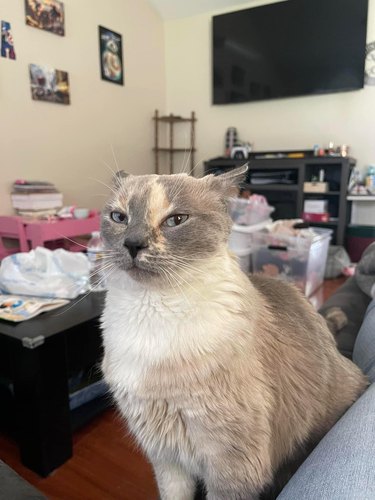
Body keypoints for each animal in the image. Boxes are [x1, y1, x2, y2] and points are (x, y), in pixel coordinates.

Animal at [100, 166, 368, 498]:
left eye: (176, 220)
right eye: (119, 217)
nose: (133, 244)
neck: (152, 312)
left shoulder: (230, 471)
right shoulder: (166, 459)